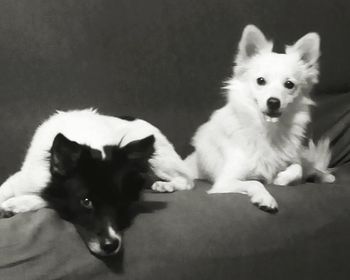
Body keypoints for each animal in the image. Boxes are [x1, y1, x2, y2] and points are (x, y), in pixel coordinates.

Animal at [0, 109, 193, 256]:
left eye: (121, 203)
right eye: (86, 201)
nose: (111, 246)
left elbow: (46, 199)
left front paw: (12, 205)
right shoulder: (23, 179)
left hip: (160, 161)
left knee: (188, 181)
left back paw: (165, 185)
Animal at [187, 25, 334, 212]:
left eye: (289, 85)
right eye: (261, 81)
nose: (273, 102)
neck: (268, 130)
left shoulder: (291, 161)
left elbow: (296, 168)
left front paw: (282, 178)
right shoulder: (225, 182)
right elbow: (255, 183)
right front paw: (265, 198)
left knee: (308, 166)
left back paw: (324, 176)